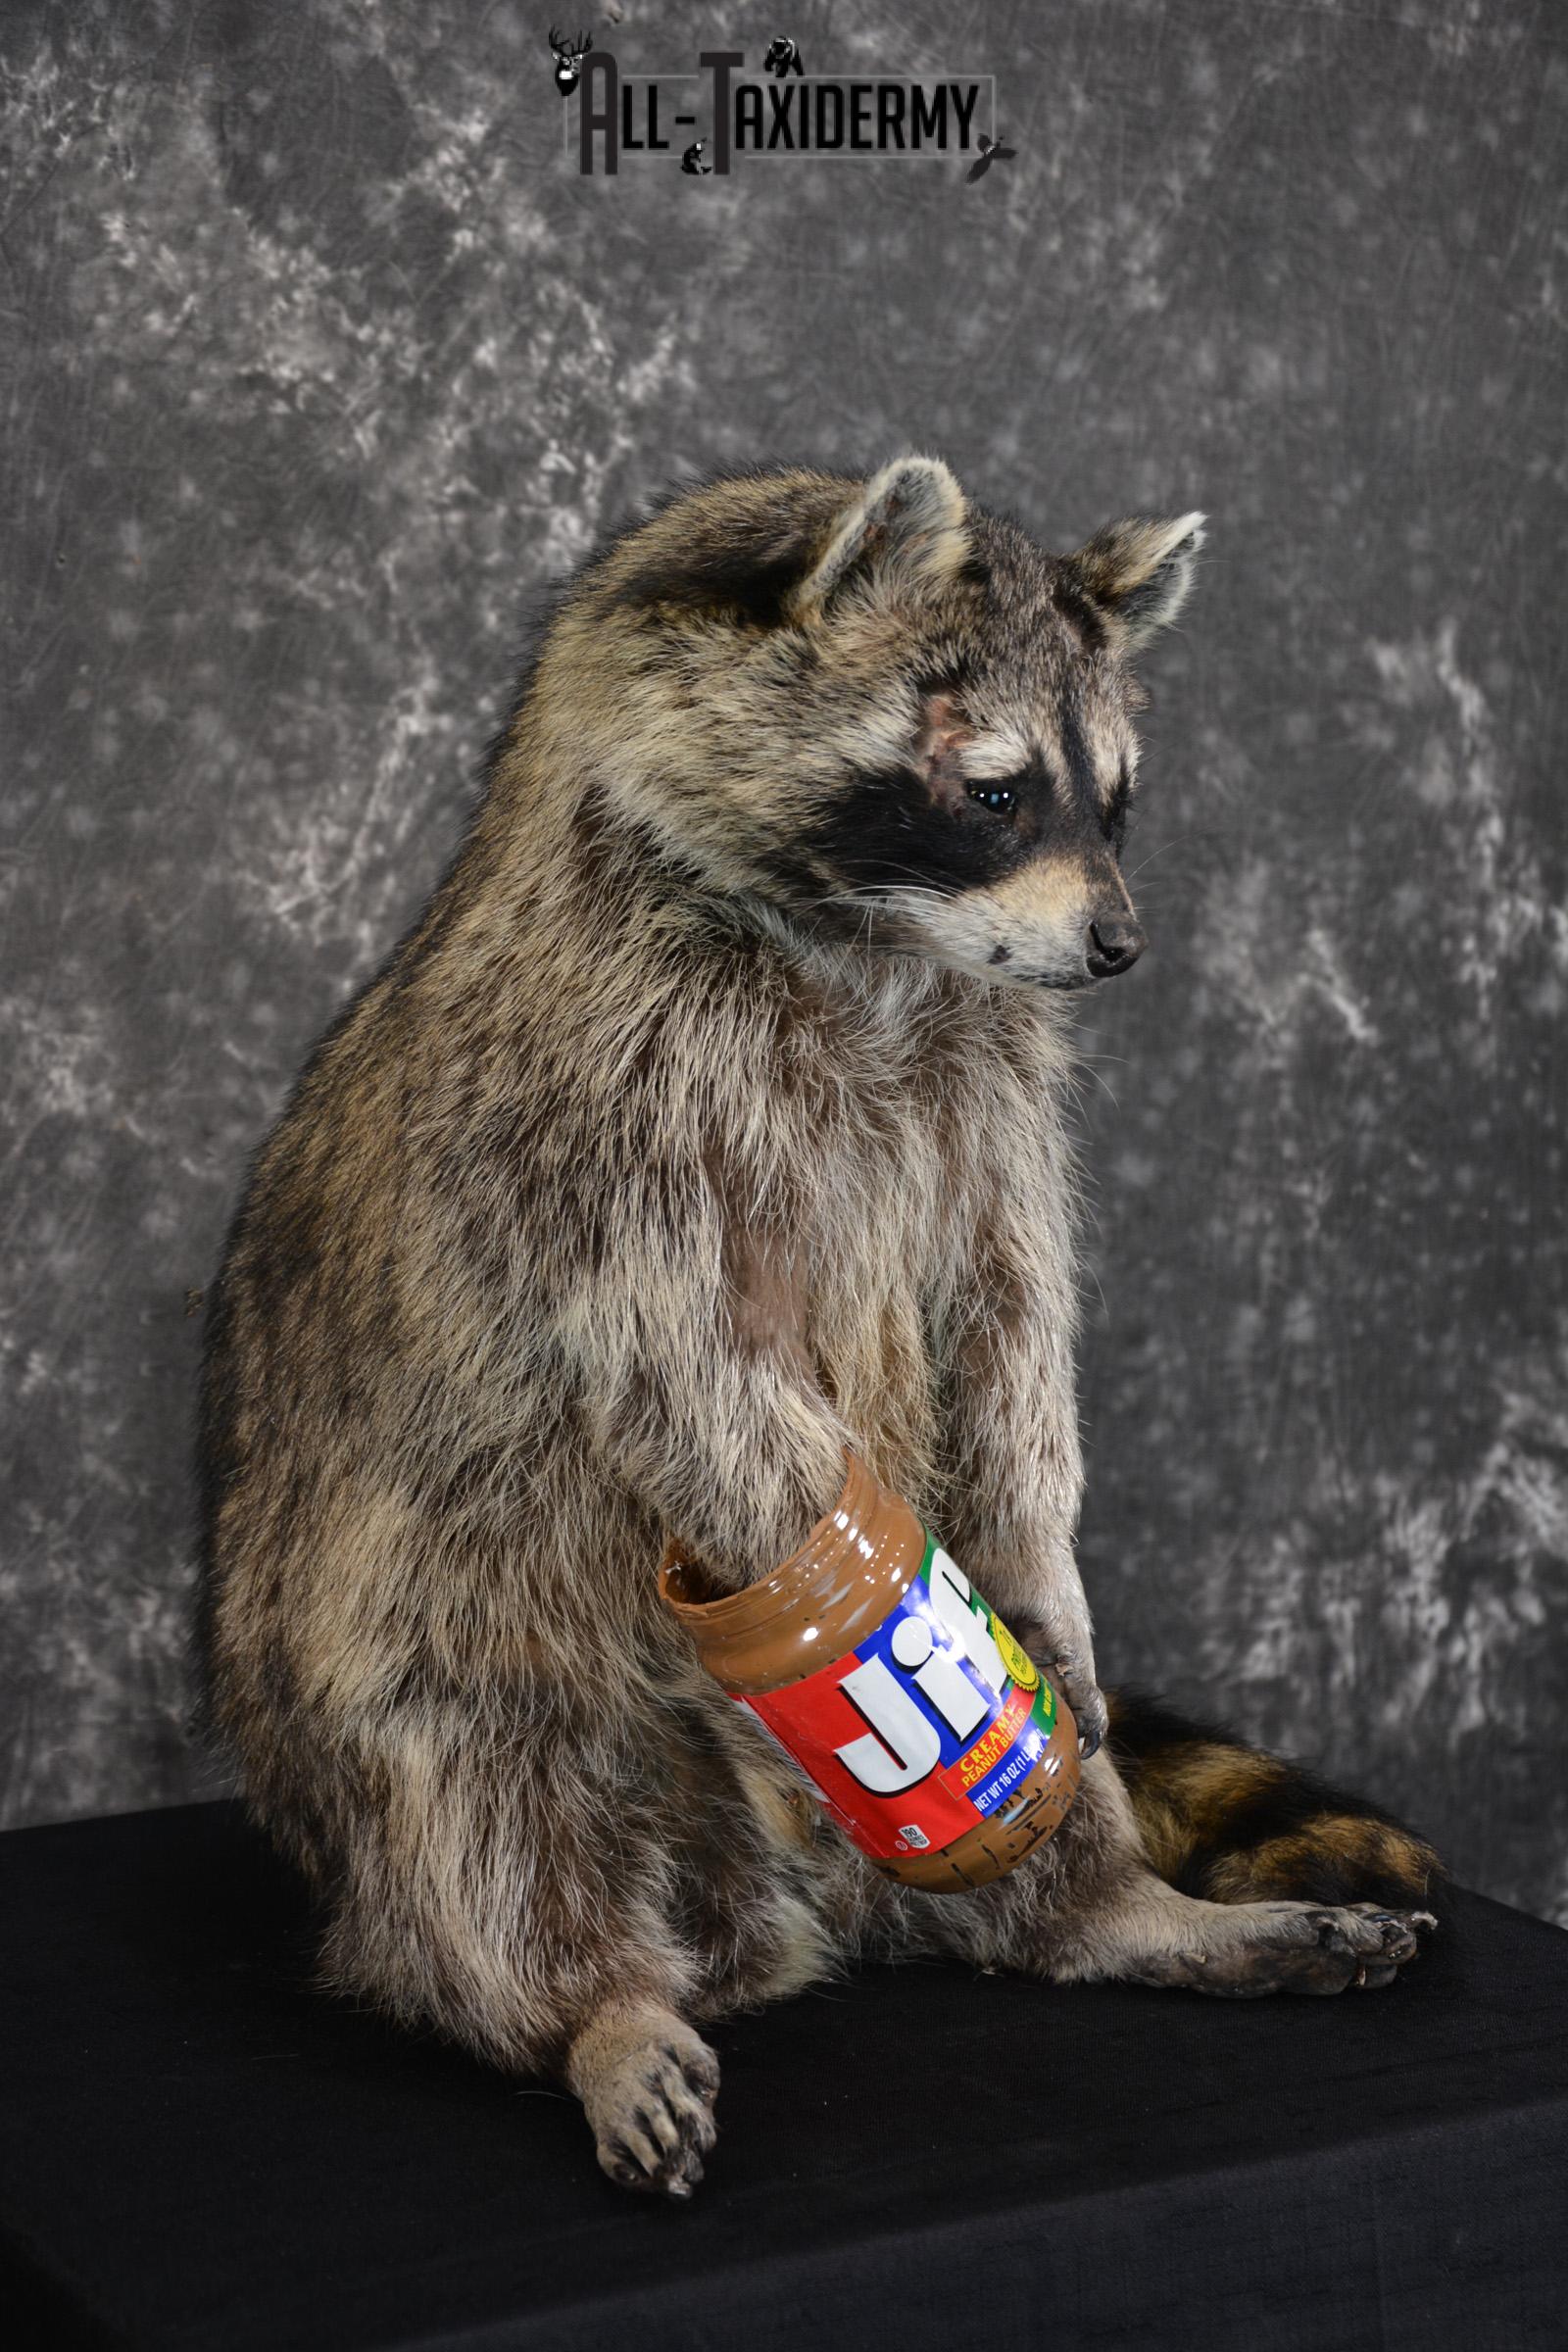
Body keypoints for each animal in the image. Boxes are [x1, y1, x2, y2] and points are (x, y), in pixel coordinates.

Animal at [196, 457, 1439, 2198]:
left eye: (1114, 796)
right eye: (997, 794)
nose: (1121, 944)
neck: (871, 941)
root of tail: (774, 1904)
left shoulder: (987, 1077)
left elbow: (1008, 1313)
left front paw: (1026, 1597)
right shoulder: (595, 1094)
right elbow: (695, 1370)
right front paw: (883, 1623)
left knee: (1037, 1802)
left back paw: (1105, 1906)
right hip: (409, 1638)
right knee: (475, 1810)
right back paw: (591, 2006)